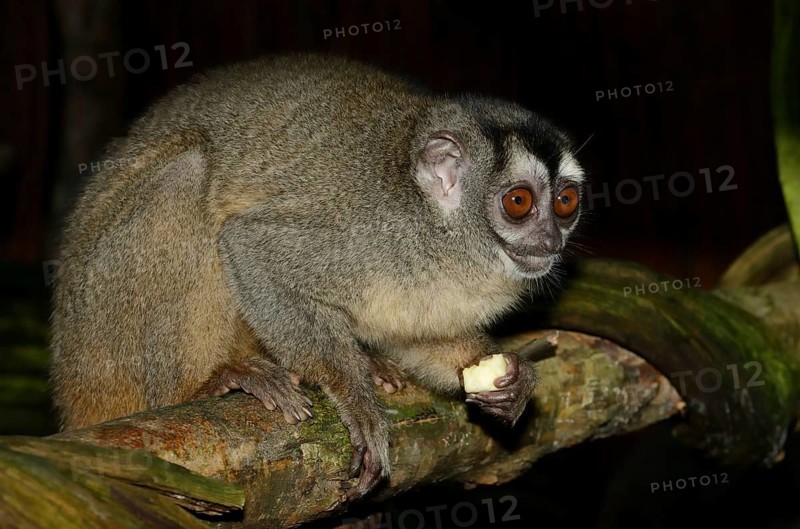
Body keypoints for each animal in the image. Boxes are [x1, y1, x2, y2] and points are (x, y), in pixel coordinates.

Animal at [50, 53, 585, 499]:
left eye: (565, 203)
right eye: (518, 202)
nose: (549, 240)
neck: (443, 235)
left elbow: (414, 338)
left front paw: (506, 376)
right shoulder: (367, 230)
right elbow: (249, 247)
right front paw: (355, 399)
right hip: (101, 335)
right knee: (187, 174)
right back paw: (207, 384)